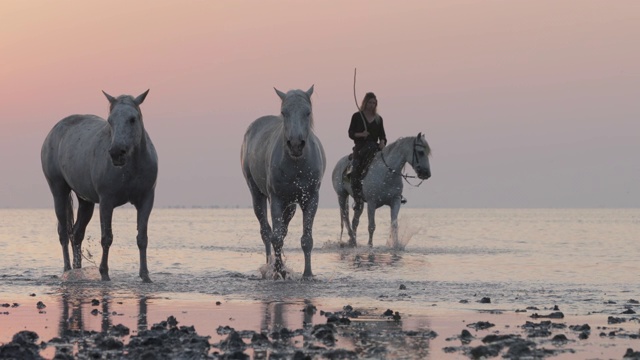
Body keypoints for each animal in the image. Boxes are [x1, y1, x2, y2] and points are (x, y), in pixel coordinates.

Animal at [41, 89, 158, 282]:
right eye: (110, 120)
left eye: (133, 119)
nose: (117, 152)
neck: (131, 166)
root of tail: (53, 131)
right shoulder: (106, 202)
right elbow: (107, 237)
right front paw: (104, 273)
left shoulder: (146, 200)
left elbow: (142, 237)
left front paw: (145, 275)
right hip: (58, 191)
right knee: (64, 233)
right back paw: (67, 269)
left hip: (85, 201)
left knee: (77, 234)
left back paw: (77, 269)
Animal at [242, 86, 328, 280]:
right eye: (284, 112)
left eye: (307, 112)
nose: (295, 144)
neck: (296, 165)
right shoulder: (276, 199)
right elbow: (277, 237)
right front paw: (278, 271)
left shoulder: (311, 199)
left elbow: (306, 239)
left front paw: (308, 274)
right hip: (256, 193)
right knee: (266, 232)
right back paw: (269, 265)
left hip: (291, 206)